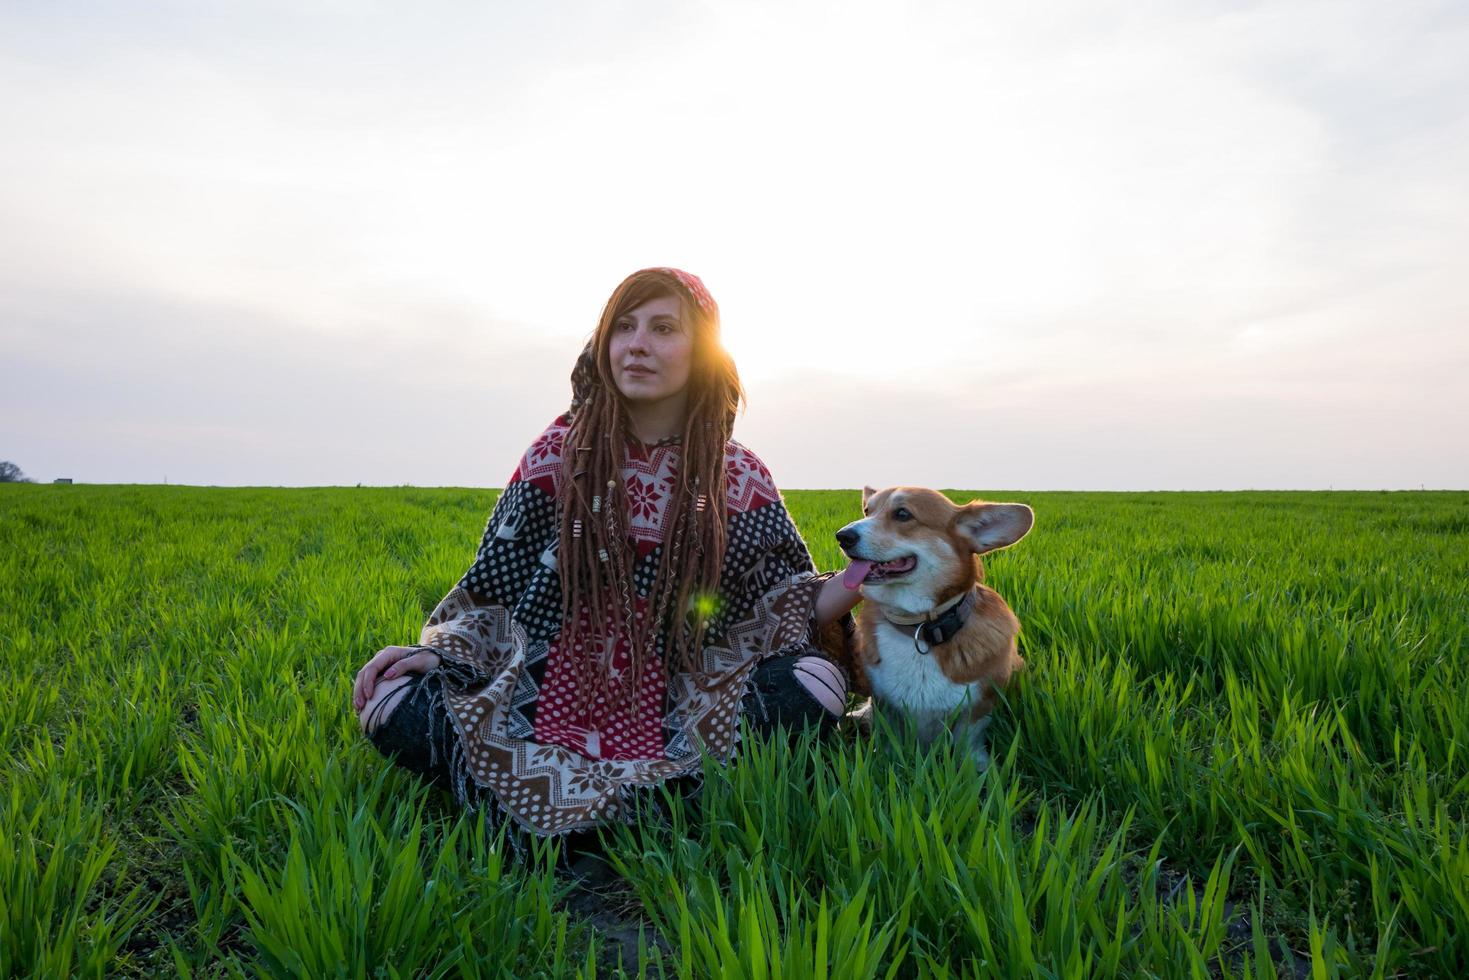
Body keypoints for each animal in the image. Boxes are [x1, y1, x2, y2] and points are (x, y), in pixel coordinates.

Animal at [840, 487, 1034, 764]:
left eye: (902, 514)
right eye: (868, 510)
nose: (841, 536)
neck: (920, 628)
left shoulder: (978, 707)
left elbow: (968, 745)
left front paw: (978, 769)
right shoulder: (884, 705)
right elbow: (888, 740)